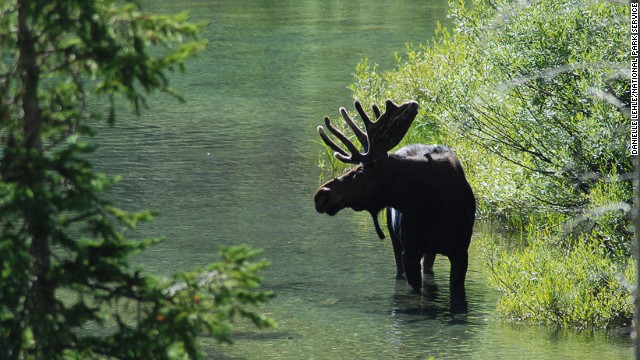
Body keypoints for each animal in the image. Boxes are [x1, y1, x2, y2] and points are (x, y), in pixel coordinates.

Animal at [316, 99, 476, 306]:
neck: (431, 206)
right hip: (395, 238)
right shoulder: (409, 251)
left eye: (360, 171)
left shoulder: (461, 251)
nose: (321, 195)